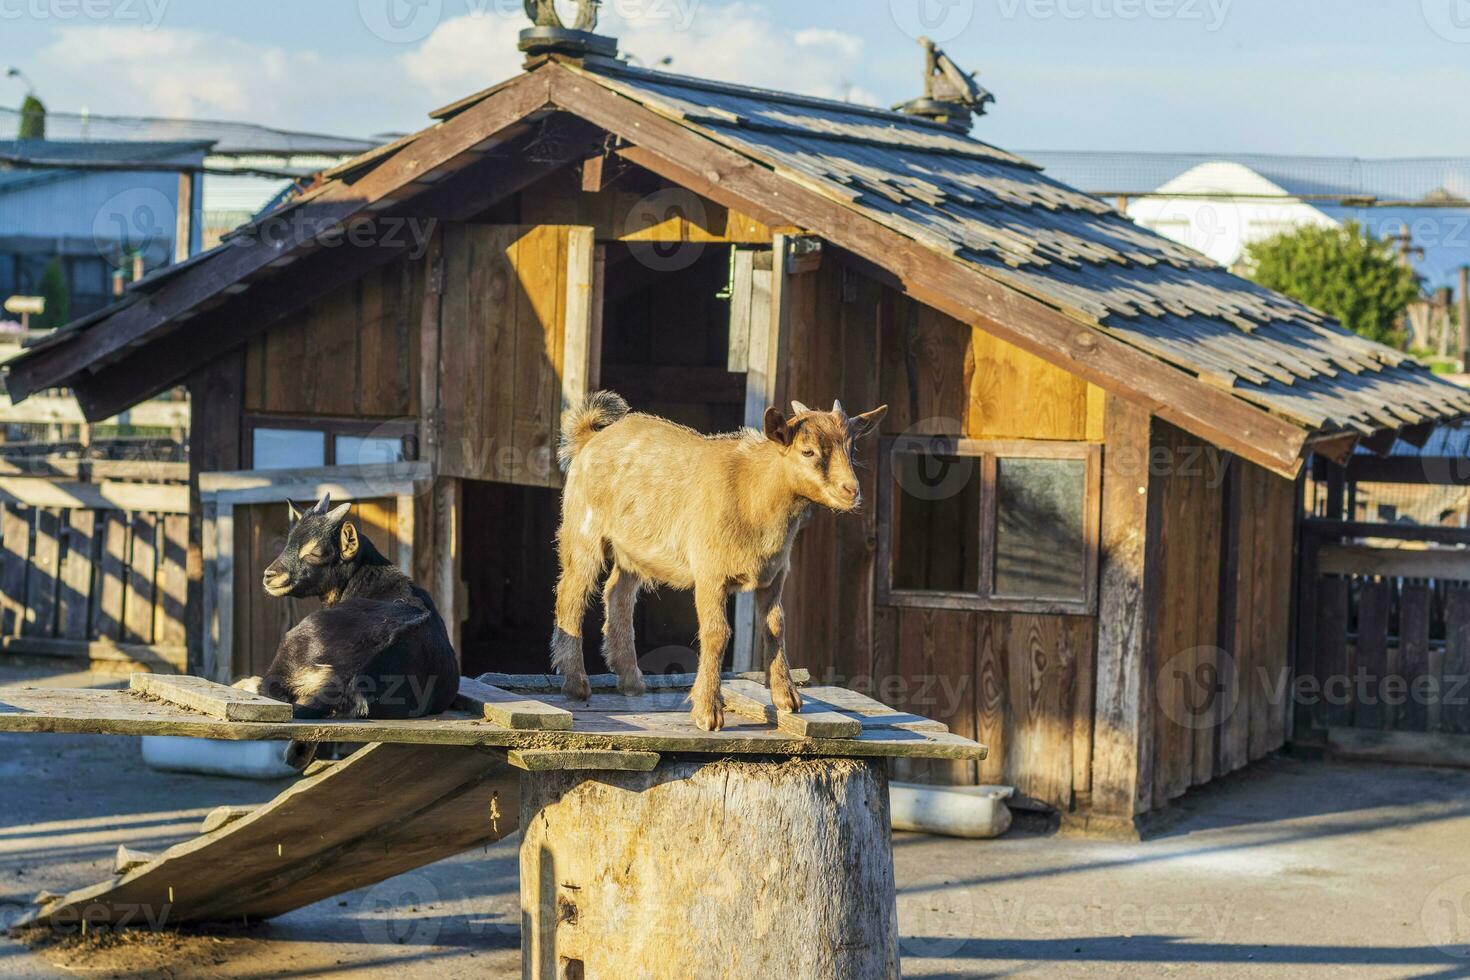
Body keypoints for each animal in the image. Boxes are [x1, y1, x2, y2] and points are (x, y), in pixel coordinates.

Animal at [552, 390, 882, 728]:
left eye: (852, 448)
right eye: (807, 451)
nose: (851, 491)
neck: (754, 493)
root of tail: (590, 438)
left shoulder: (775, 575)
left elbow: (776, 626)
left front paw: (786, 697)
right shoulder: (710, 573)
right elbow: (716, 633)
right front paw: (708, 711)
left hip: (633, 549)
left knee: (618, 593)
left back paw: (631, 679)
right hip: (583, 530)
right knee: (571, 595)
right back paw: (576, 684)